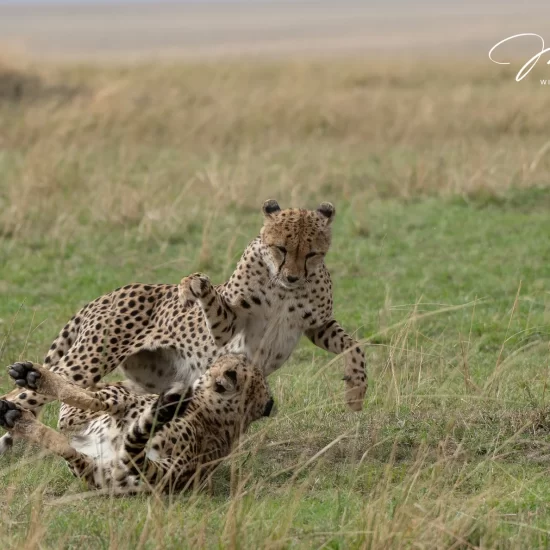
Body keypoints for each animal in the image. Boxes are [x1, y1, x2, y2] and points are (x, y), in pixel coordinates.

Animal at [0, 358, 274, 496]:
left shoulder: (78, 414)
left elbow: (78, 395)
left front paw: (35, 379)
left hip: (118, 414)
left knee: (88, 405)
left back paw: (31, 384)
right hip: (89, 466)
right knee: (65, 447)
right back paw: (17, 417)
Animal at [1, 201, 370, 454]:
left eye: (312, 253)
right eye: (281, 248)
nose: (293, 276)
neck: (284, 288)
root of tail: (109, 293)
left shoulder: (317, 326)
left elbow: (355, 346)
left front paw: (356, 392)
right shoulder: (227, 328)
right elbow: (210, 297)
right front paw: (192, 285)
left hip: (138, 385)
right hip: (88, 361)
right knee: (26, 394)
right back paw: (21, 391)